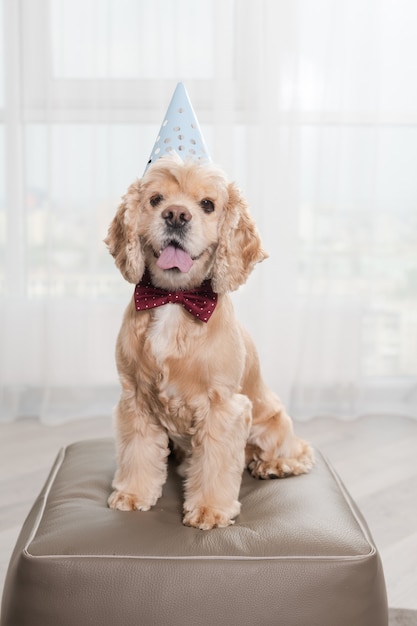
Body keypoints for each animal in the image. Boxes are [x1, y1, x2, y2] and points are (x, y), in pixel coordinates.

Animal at [104, 155, 312, 528]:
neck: (175, 300)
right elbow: (137, 451)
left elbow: (216, 463)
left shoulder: (223, 407)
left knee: (297, 450)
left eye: (207, 205)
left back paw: (274, 465)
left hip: (271, 421)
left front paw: (209, 510)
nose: (176, 215)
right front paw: (133, 494)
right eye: (156, 199)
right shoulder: (135, 398)